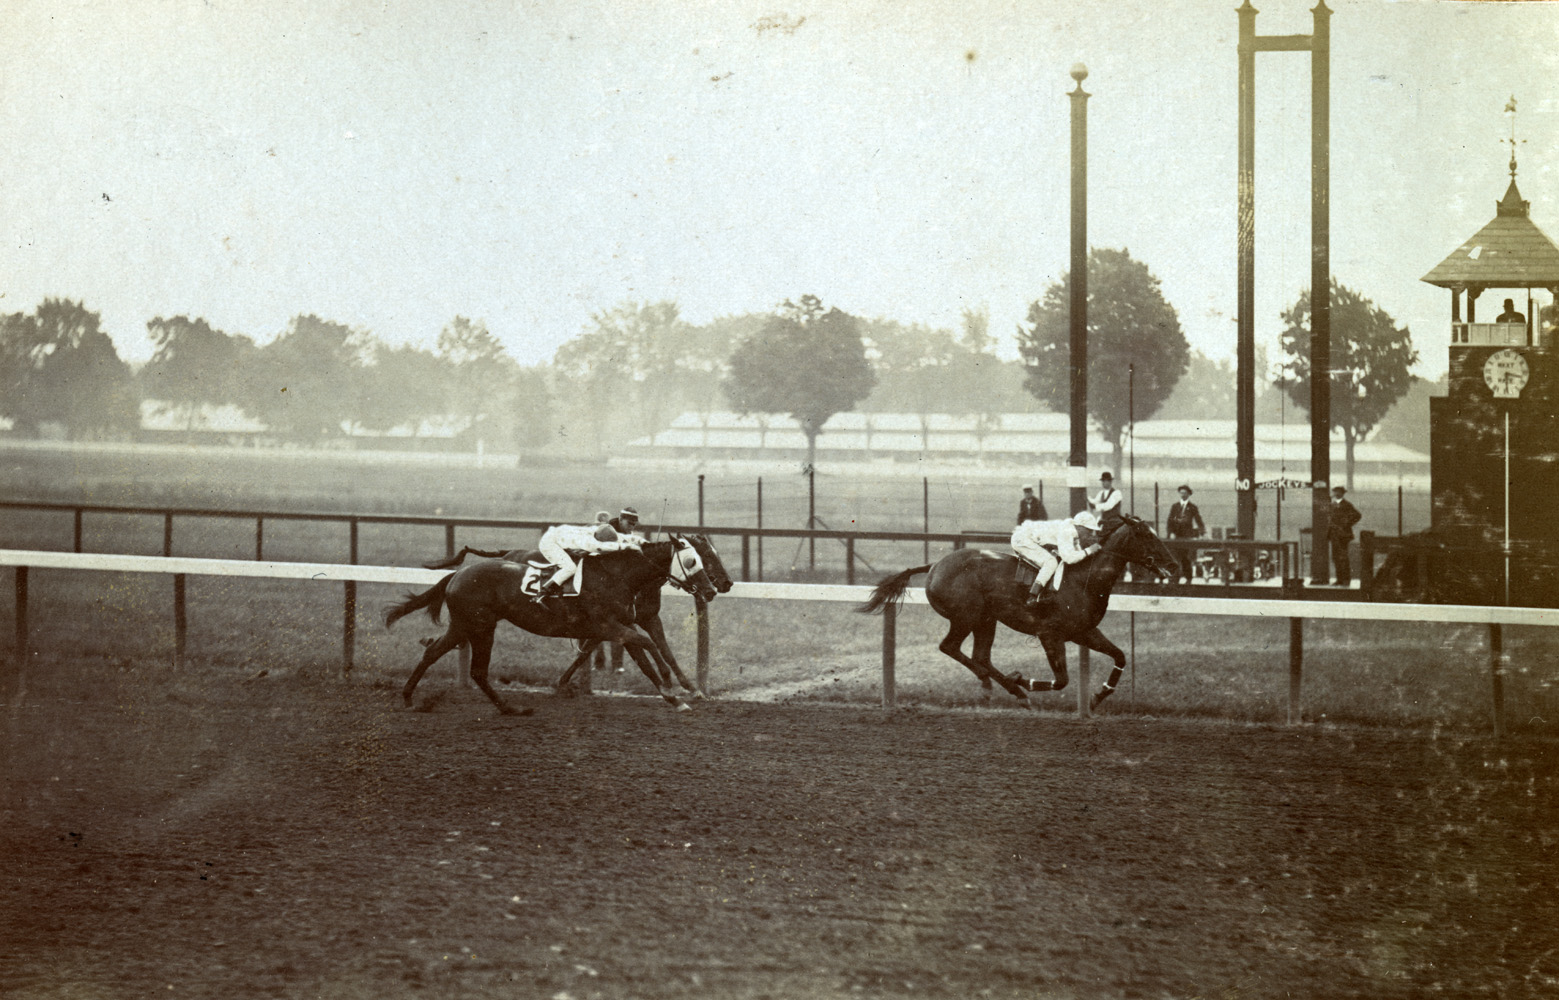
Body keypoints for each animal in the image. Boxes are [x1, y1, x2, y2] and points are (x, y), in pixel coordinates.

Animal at [383, 533, 717, 714]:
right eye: (692, 561)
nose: (712, 590)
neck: (616, 576)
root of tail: (457, 574)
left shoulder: (621, 628)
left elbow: (644, 659)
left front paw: (674, 697)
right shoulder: (609, 627)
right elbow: (649, 645)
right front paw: (674, 685)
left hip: (471, 627)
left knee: (450, 659)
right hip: (475, 626)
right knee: (461, 663)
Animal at [860, 517, 1172, 705]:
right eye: (1145, 535)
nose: (1173, 563)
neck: (1084, 578)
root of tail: (935, 565)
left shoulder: (1084, 632)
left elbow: (1120, 655)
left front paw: (1098, 696)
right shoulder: (1049, 634)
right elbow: (1062, 680)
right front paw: (1024, 679)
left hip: (987, 619)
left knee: (980, 656)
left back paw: (1010, 688)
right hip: (966, 616)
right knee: (950, 647)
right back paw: (996, 684)